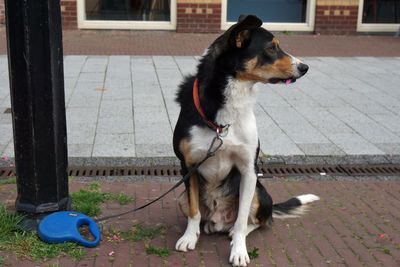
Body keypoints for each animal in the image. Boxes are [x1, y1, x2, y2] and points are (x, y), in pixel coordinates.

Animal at [172, 15, 318, 267]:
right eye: (272, 47)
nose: (305, 67)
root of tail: (219, 220)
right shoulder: (188, 166)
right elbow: (194, 211)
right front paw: (189, 238)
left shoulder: (249, 169)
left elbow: (241, 220)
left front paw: (239, 251)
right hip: (181, 196)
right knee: (202, 215)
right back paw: (205, 228)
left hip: (259, 192)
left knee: (259, 221)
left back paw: (232, 232)